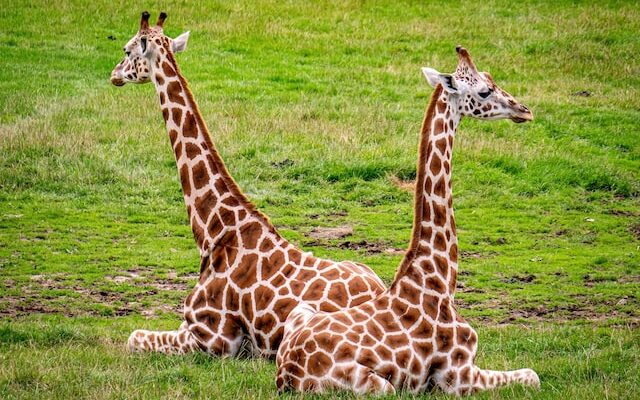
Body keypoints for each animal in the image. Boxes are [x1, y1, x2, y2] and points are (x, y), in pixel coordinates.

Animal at [276, 46, 540, 394]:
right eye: (484, 90)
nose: (524, 111)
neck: (438, 280)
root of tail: (287, 375)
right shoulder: (458, 376)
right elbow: (534, 375)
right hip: (381, 387)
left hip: (301, 313)